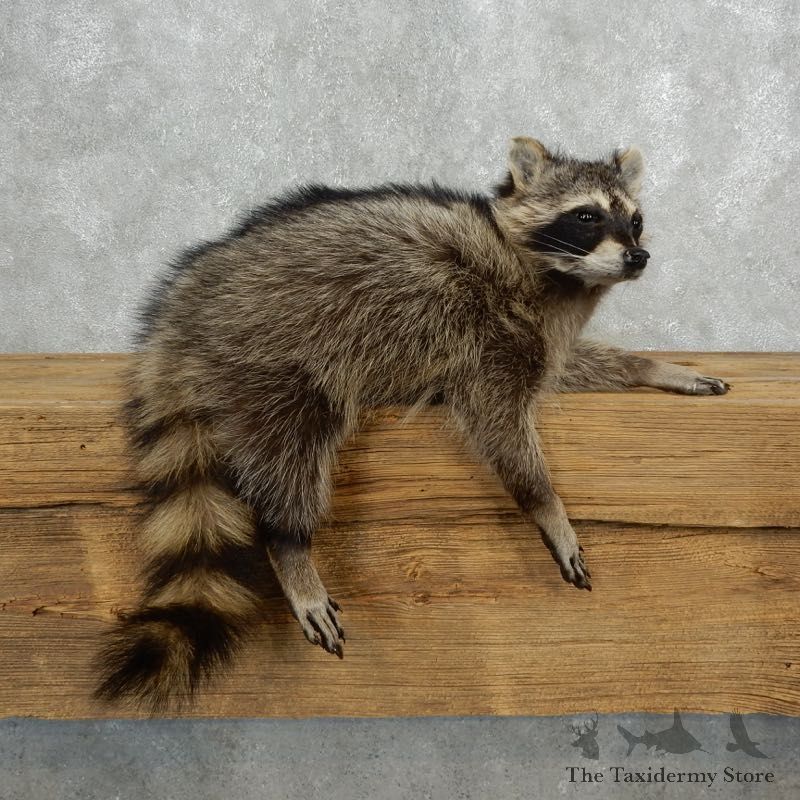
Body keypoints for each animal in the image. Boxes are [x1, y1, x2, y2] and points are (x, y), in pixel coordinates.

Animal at [96, 137, 730, 709]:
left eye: (636, 220)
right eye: (587, 216)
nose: (638, 256)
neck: (552, 275)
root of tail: (179, 315)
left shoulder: (539, 335)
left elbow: (568, 364)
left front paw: (654, 367)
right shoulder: (488, 339)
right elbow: (498, 423)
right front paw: (546, 502)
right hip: (272, 348)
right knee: (294, 445)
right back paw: (289, 545)